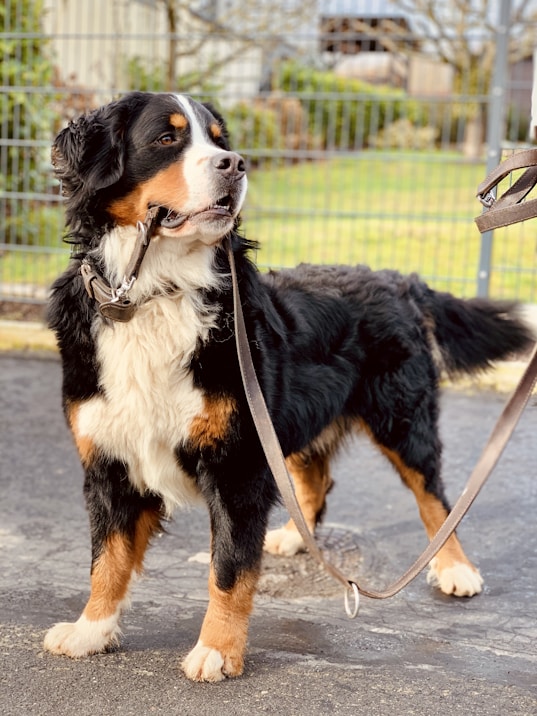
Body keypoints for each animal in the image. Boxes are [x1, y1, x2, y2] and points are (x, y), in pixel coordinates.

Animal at [45, 91, 532, 684]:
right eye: (167, 138)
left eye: (220, 140)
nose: (235, 165)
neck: (155, 294)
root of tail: (398, 279)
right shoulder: (111, 460)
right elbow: (107, 560)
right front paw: (91, 630)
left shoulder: (237, 466)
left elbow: (228, 569)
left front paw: (217, 650)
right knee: (316, 480)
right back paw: (297, 536)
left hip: (401, 420)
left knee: (435, 498)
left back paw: (456, 568)